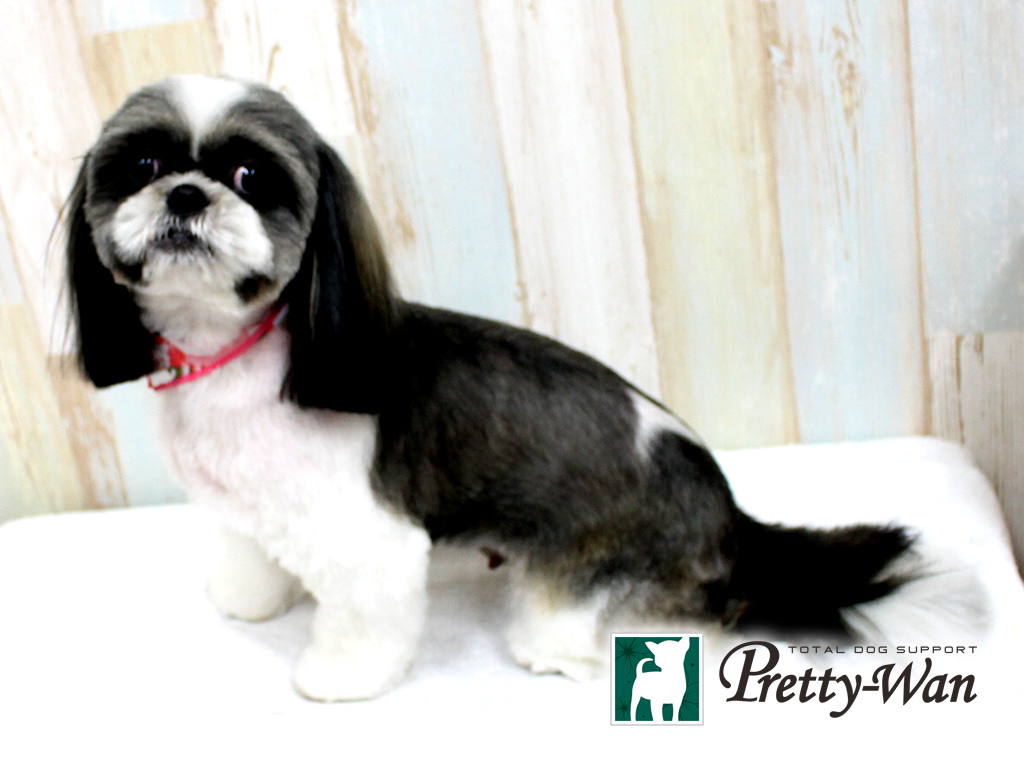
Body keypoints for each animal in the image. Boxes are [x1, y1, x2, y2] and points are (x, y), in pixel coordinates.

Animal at [64, 75, 912, 701]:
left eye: (249, 175)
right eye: (141, 167)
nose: (186, 194)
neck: (236, 355)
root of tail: (728, 512)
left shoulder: (368, 539)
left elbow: (363, 618)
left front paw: (339, 677)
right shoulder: (245, 502)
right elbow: (251, 552)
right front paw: (249, 599)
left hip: (595, 580)